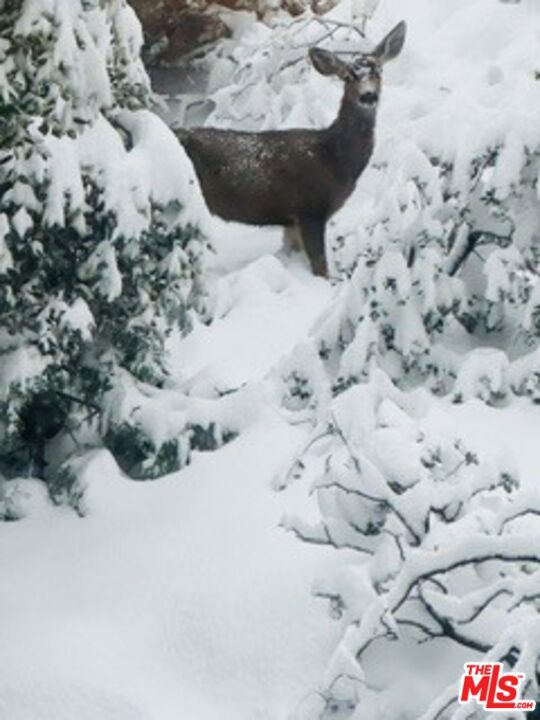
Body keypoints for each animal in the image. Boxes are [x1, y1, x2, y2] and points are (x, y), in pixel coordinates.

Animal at [175, 21, 407, 278]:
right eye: (348, 76)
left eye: (378, 72)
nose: (368, 96)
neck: (333, 158)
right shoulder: (310, 209)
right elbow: (320, 267)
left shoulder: (291, 220)